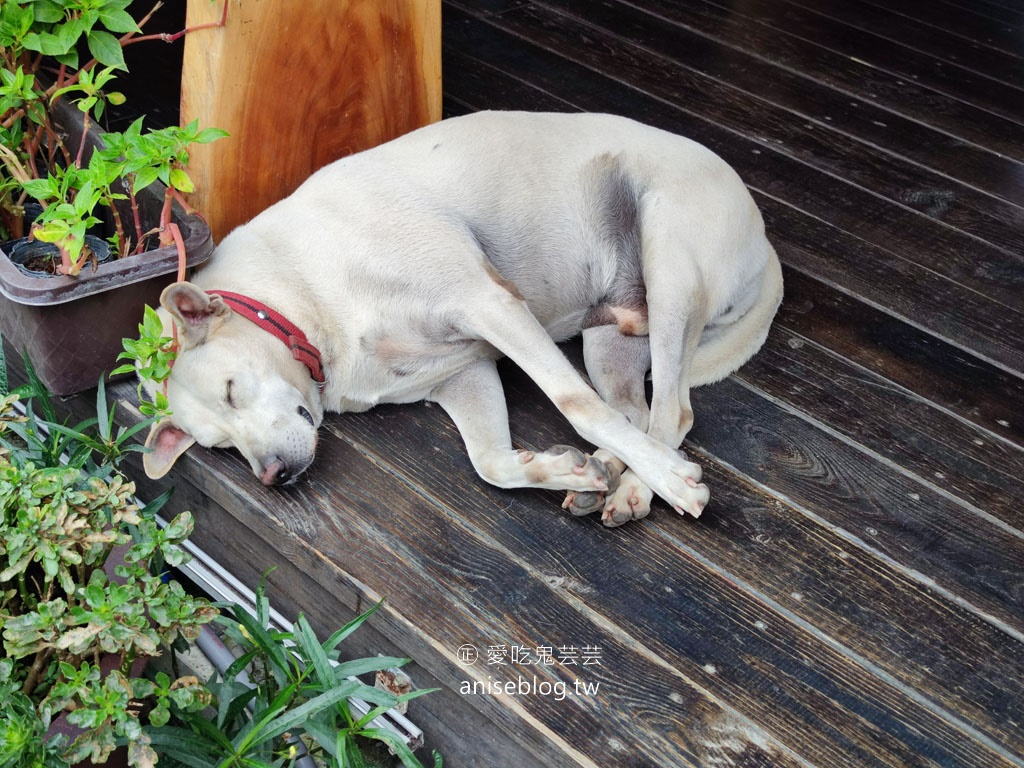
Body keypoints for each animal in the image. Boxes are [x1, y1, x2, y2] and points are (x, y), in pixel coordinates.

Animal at [142, 109, 782, 528]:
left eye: (231, 390)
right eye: (221, 446)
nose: (272, 475)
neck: (302, 294)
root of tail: (767, 240)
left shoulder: (488, 303)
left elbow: (574, 404)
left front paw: (666, 480)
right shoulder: (463, 376)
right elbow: (490, 463)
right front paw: (563, 471)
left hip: (670, 265)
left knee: (671, 411)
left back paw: (651, 487)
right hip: (608, 341)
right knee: (634, 410)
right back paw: (611, 478)